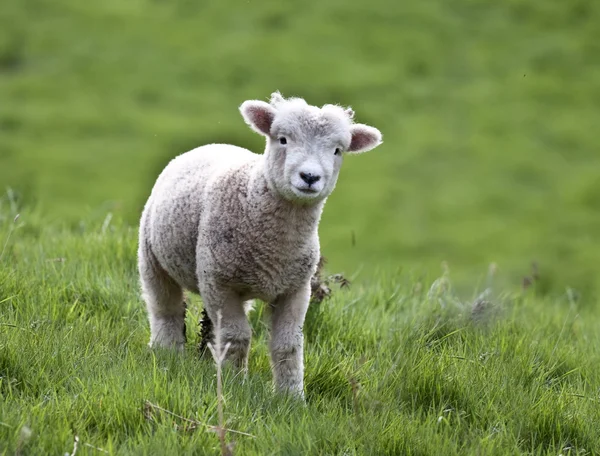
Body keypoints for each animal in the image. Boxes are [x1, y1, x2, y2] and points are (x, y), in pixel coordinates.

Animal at [138, 91, 382, 396]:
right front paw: (233, 385)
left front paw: (291, 396)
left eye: (338, 150)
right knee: (165, 308)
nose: (310, 177)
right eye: (283, 139)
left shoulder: (296, 288)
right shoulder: (218, 282)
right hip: (152, 256)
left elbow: (288, 345)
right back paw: (166, 352)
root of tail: (211, 145)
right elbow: (237, 337)